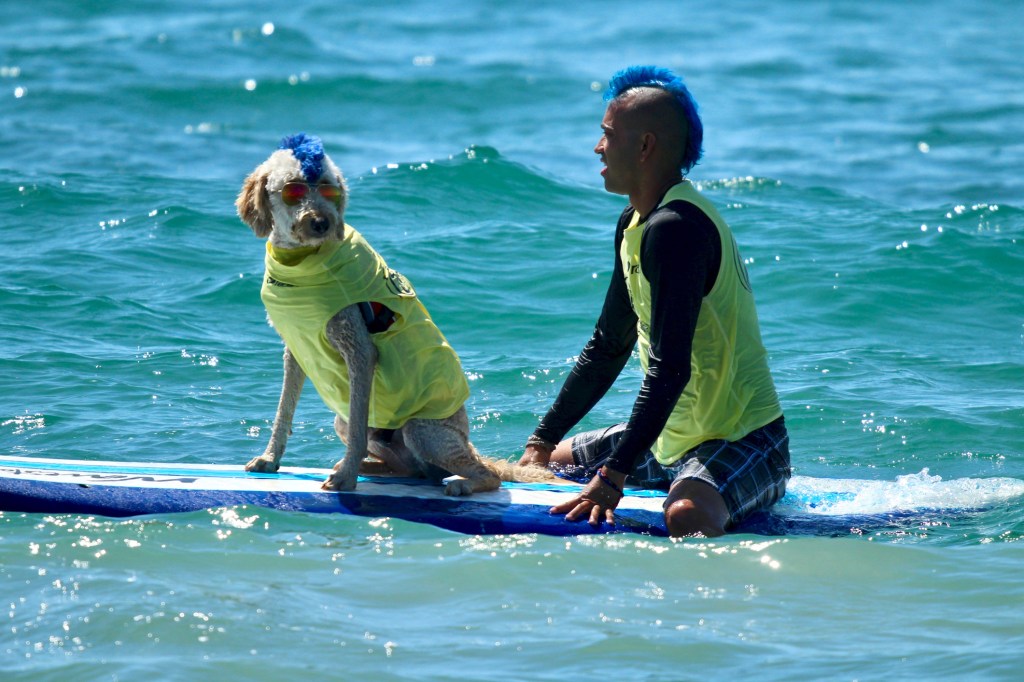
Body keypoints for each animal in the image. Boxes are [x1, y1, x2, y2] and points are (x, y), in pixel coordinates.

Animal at [235, 134, 557, 493]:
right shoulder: (296, 349)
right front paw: (269, 458)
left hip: (423, 431)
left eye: (330, 189)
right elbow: (284, 410)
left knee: (487, 475)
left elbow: (358, 426)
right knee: (411, 469)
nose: (322, 223)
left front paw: (346, 478)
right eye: (294, 189)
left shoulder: (359, 349)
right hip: (347, 423)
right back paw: (369, 466)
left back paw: (458, 482)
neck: (301, 262)